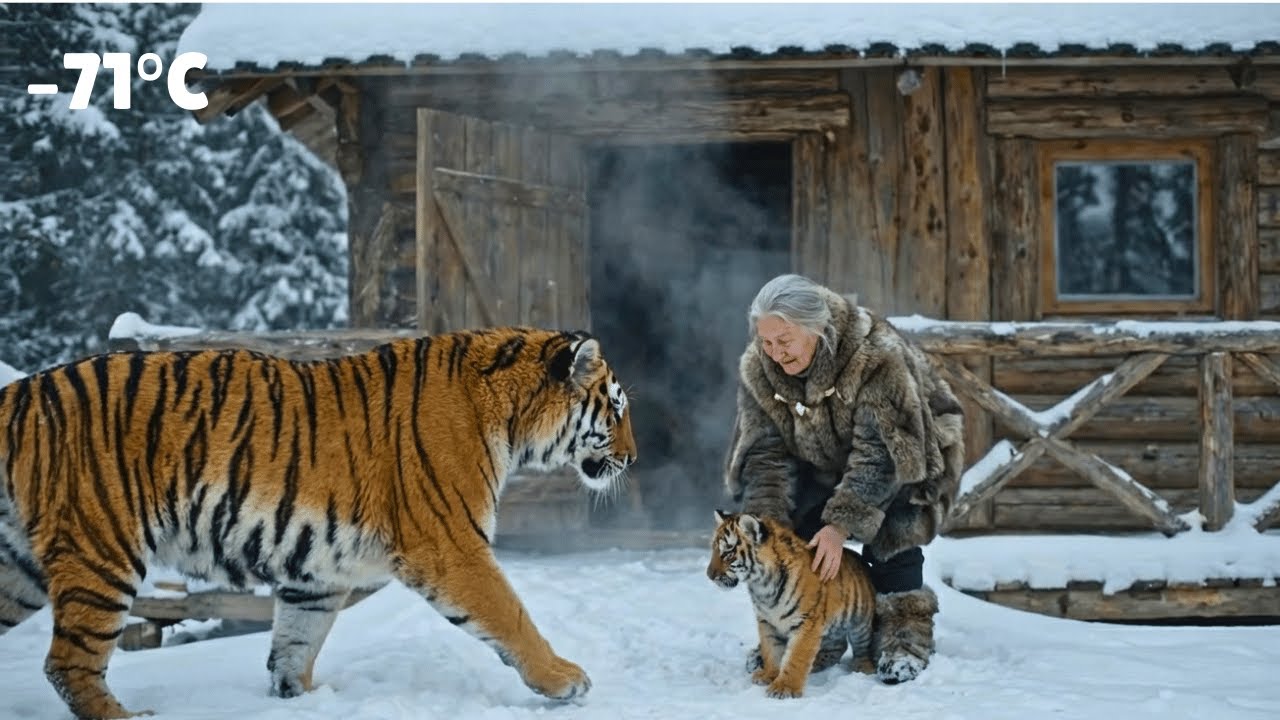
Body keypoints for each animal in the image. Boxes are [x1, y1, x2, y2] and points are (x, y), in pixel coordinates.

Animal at [0, 327, 636, 719]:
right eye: (616, 408)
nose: (633, 458)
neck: (509, 416)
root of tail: (21, 392)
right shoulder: (452, 545)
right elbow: (511, 616)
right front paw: (566, 680)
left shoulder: (317, 572)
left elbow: (295, 643)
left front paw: (295, 698)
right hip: (102, 550)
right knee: (69, 664)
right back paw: (131, 716)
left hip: (19, 569)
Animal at [706, 510, 876, 699]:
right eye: (714, 549)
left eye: (728, 553)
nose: (709, 575)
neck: (762, 586)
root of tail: (862, 561)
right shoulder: (766, 621)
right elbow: (770, 650)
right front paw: (768, 675)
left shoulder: (807, 621)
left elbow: (796, 657)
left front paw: (784, 688)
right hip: (831, 628)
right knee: (838, 646)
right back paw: (817, 663)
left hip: (860, 623)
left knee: (862, 646)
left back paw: (863, 667)